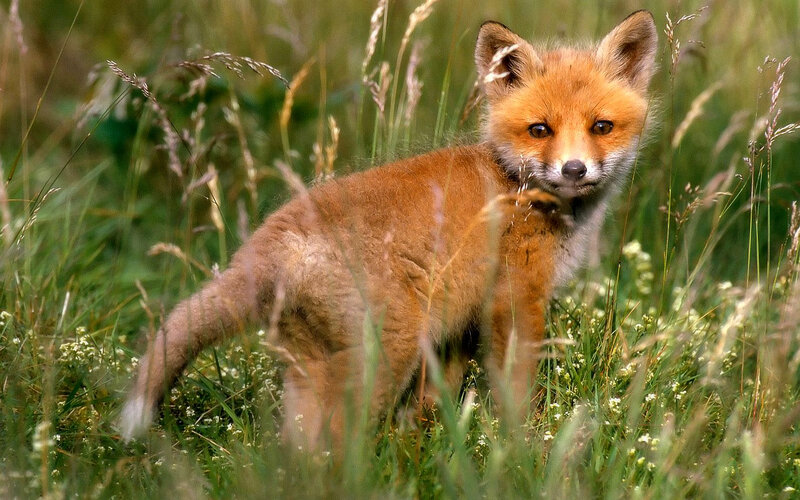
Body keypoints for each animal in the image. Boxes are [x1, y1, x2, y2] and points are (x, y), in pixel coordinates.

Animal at [119, 10, 657, 449]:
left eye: (602, 127)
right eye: (540, 130)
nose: (574, 169)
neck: (517, 186)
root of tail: (268, 242)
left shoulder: (458, 326)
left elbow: (431, 406)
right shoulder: (514, 300)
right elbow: (518, 395)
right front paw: (528, 450)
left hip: (313, 367)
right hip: (384, 355)